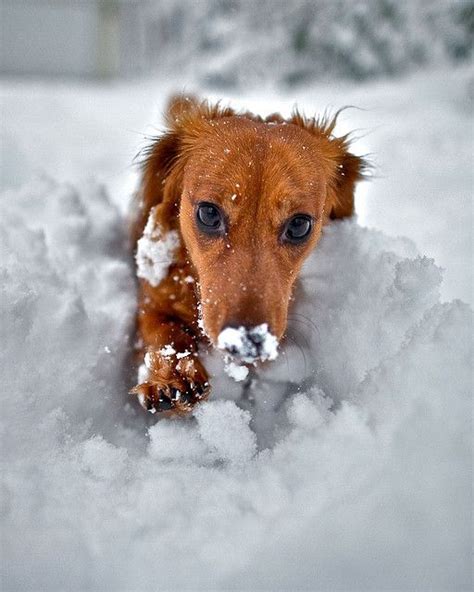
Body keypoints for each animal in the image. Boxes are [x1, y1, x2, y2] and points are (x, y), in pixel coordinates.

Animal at [130, 95, 366, 414]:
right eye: (208, 213)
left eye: (299, 225)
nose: (247, 341)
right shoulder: (151, 298)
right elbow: (160, 326)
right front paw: (174, 373)